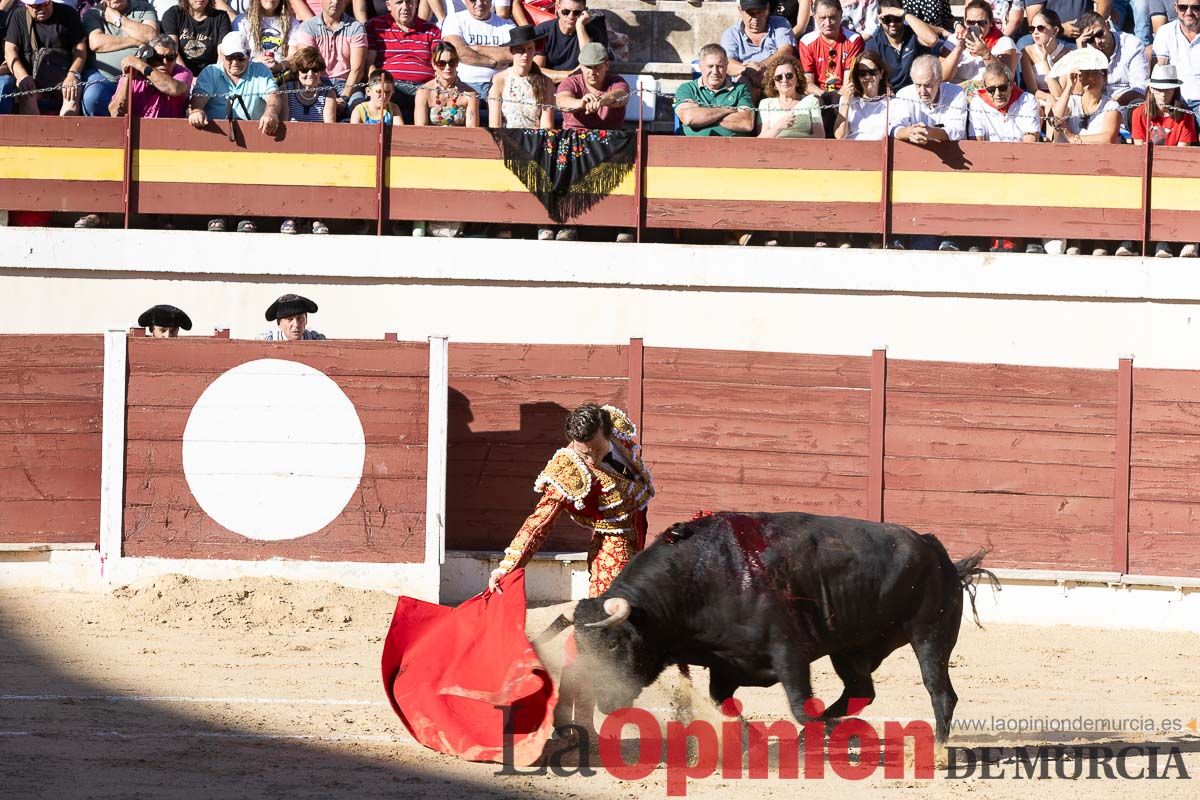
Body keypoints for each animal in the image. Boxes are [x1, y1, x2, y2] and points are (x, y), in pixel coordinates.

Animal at [549, 510, 998, 748]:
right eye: (581, 648)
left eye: (612, 646)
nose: (606, 702)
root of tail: (936, 550)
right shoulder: (725, 662)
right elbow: (722, 702)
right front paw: (752, 738)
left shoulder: (789, 652)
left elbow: (798, 704)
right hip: (850, 650)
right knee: (860, 691)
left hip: (930, 637)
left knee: (940, 691)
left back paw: (935, 744)